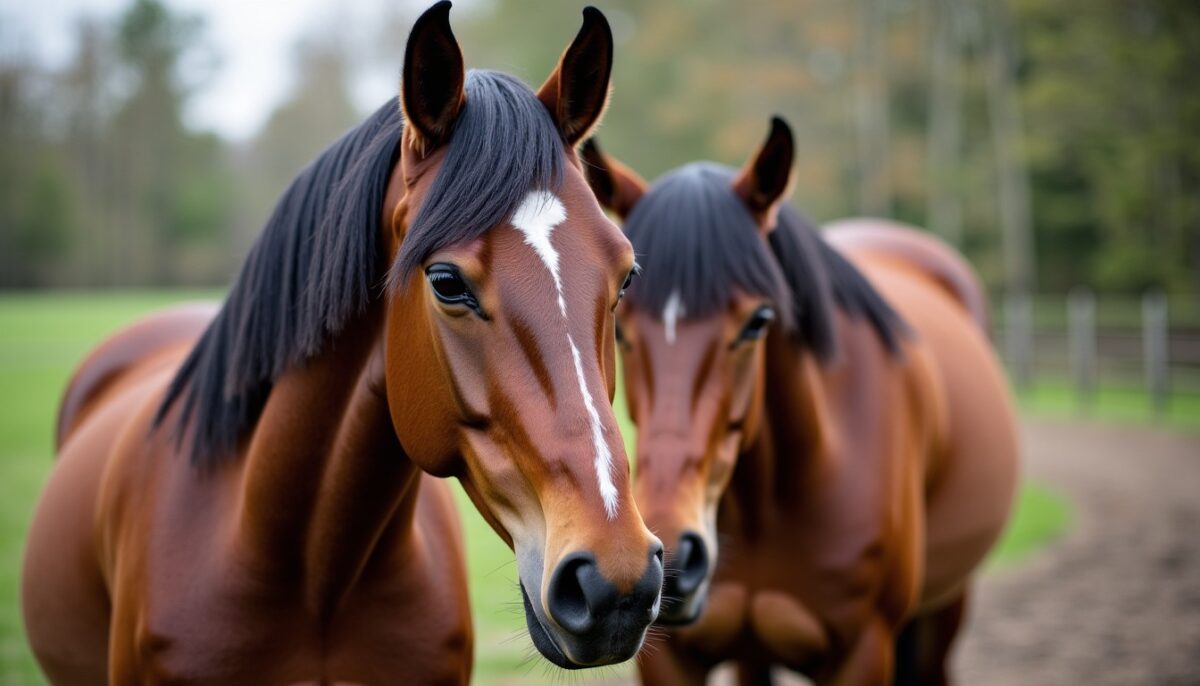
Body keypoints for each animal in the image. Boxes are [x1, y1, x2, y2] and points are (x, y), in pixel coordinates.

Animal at [581, 118, 1018, 685]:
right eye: (622, 327)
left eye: (758, 321)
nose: (674, 555)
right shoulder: (671, 660)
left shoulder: (863, 653)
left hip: (944, 610)